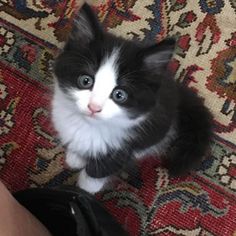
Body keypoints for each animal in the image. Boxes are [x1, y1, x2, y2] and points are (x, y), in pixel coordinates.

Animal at [52, 4, 213, 194]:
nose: (94, 107)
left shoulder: (124, 145)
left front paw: (86, 189)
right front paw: (75, 157)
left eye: (119, 95)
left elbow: (101, 169)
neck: (89, 126)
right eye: (86, 81)